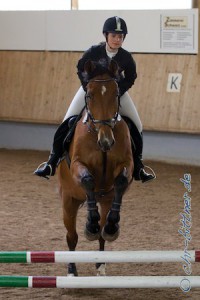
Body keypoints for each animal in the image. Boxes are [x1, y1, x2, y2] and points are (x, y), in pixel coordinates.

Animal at [57, 58, 134, 276]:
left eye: (116, 94)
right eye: (89, 95)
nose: (106, 142)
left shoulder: (127, 164)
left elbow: (121, 180)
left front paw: (111, 227)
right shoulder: (77, 165)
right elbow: (88, 180)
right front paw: (90, 224)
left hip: (105, 200)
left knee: (101, 233)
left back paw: (101, 263)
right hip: (69, 200)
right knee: (72, 236)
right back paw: (72, 270)